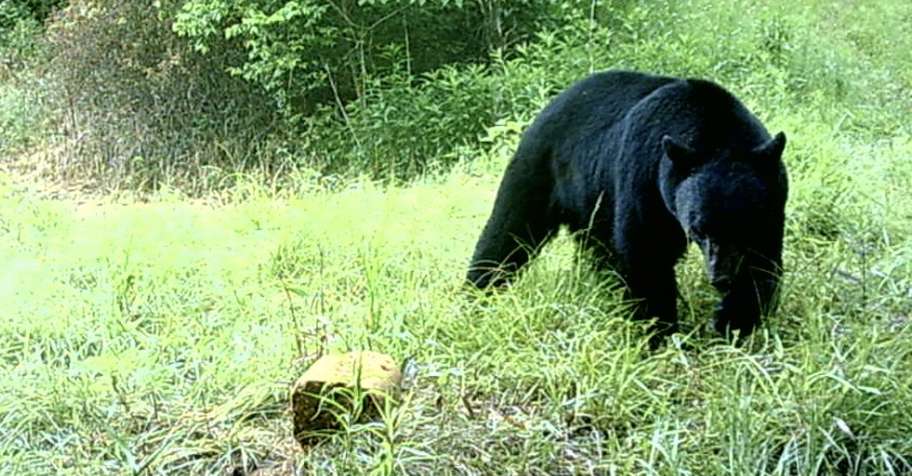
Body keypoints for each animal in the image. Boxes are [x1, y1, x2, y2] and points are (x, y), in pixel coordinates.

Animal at [466, 70, 788, 341]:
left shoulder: (773, 200)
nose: (721, 277)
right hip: (541, 168)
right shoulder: (644, 177)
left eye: (745, 227)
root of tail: (552, 103)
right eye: (698, 230)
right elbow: (646, 249)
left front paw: (733, 322)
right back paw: (478, 290)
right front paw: (658, 330)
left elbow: (763, 261)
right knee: (509, 231)